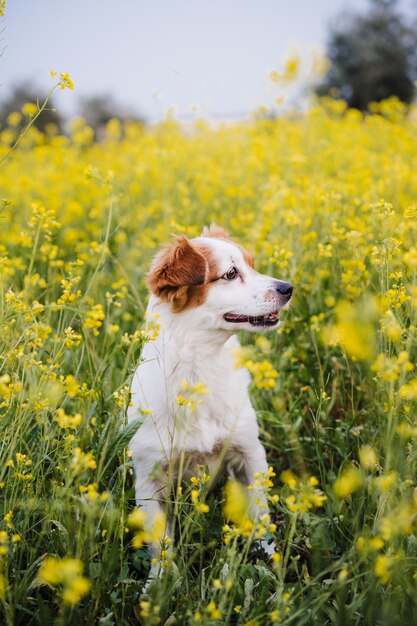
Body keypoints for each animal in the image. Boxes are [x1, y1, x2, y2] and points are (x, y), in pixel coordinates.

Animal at [127, 223, 292, 580]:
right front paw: (159, 585)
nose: (288, 287)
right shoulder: (148, 477)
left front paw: (269, 558)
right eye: (230, 273)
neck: (201, 366)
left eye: (252, 265)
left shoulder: (250, 452)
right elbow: (161, 543)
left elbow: (261, 514)